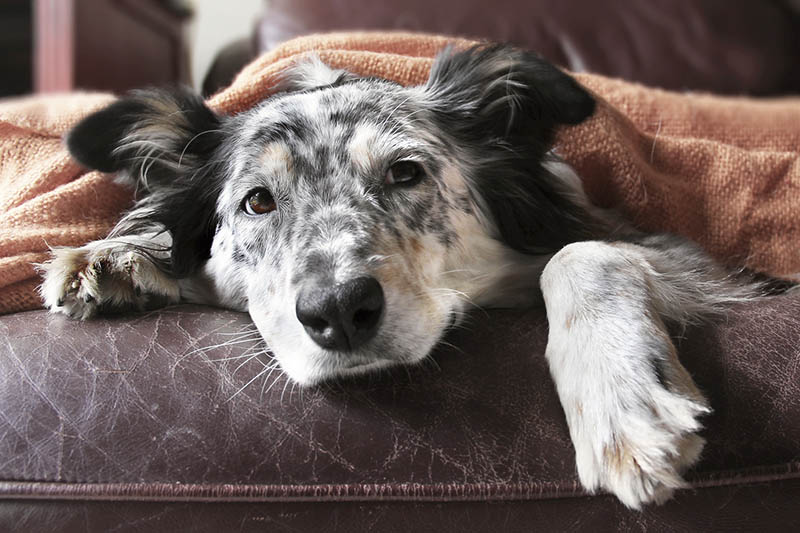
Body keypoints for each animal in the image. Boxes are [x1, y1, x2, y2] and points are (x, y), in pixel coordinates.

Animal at [37, 44, 764, 508]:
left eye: (405, 173)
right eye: (258, 202)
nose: (338, 310)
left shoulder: (681, 253)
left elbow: (581, 253)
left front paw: (623, 400)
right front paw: (118, 255)